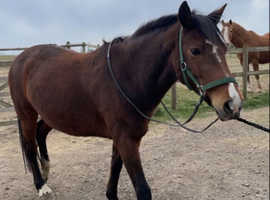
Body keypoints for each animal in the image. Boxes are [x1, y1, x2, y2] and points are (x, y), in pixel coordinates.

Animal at [7, 1, 243, 200]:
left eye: (225, 48)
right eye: (195, 50)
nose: (232, 103)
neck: (127, 75)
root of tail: (21, 58)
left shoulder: (124, 138)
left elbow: (115, 168)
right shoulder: (126, 140)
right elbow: (142, 189)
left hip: (53, 114)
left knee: (40, 132)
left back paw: (46, 170)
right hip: (26, 113)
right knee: (29, 145)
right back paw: (41, 185)